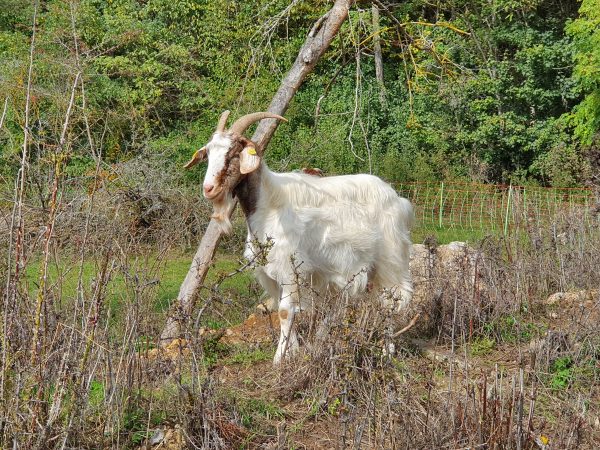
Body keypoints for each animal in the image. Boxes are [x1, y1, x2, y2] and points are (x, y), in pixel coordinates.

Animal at [185, 110, 414, 363]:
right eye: (208, 153)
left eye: (233, 153)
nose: (209, 189)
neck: (269, 205)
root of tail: (396, 197)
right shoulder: (270, 273)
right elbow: (281, 309)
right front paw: (293, 352)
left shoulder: (290, 268)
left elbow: (285, 313)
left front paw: (278, 360)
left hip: (391, 259)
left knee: (392, 299)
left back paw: (387, 351)